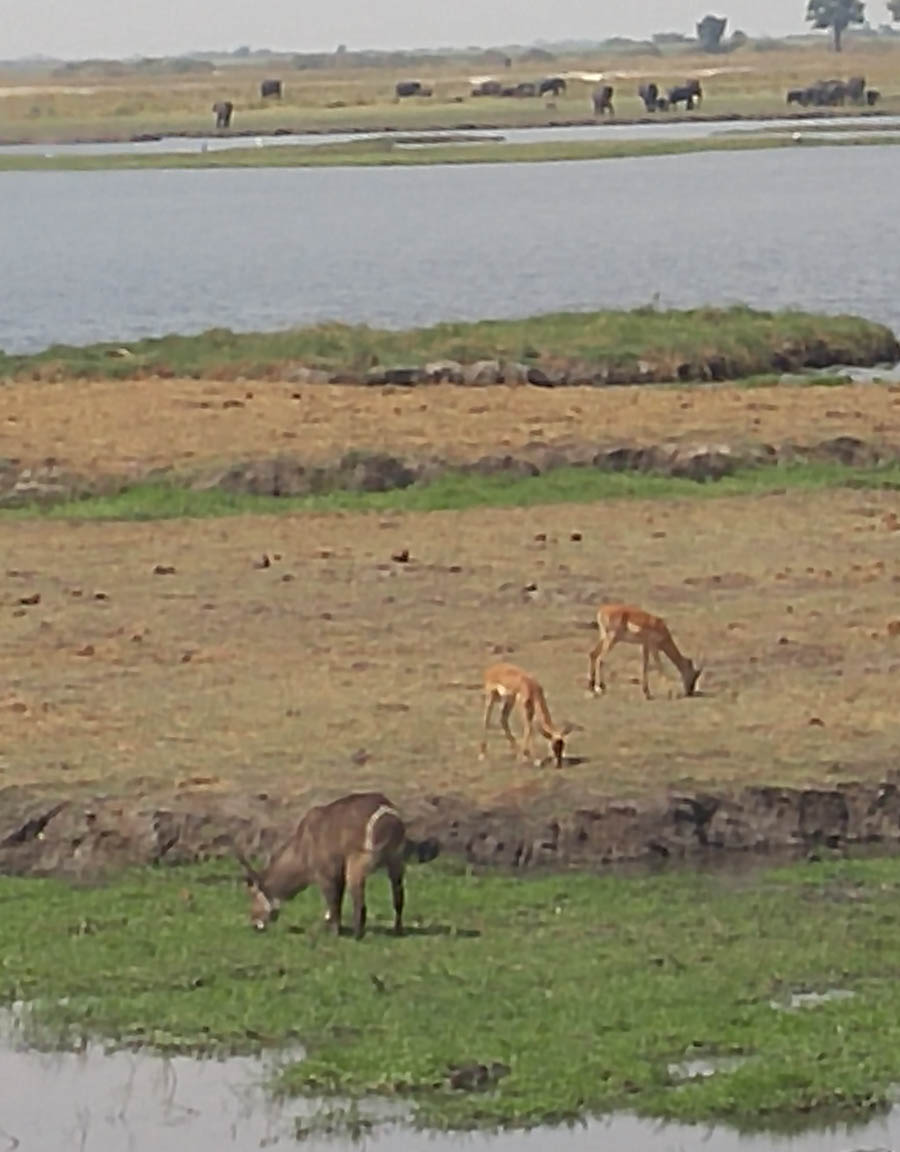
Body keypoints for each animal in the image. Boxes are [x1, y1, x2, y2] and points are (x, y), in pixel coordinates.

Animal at [235, 787, 437, 940]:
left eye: (252, 894)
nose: (254, 923)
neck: (303, 846)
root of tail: (389, 816)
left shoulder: (327, 874)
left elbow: (333, 902)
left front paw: (334, 932)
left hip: (358, 864)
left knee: (360, 902)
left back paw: (357, 935)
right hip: (396, 862)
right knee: (398, 897)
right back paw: (397, 930)